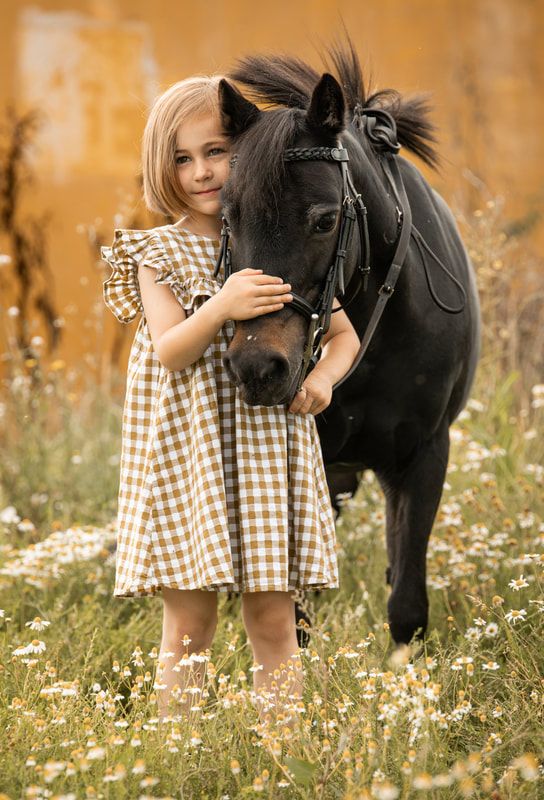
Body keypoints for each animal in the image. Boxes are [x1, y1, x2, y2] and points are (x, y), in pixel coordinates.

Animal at [216, 42, 481, 645]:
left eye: (324, 220)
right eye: (229, 215)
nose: (257, 366)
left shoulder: (424, 455)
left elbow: (407, 603)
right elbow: (288, 613)